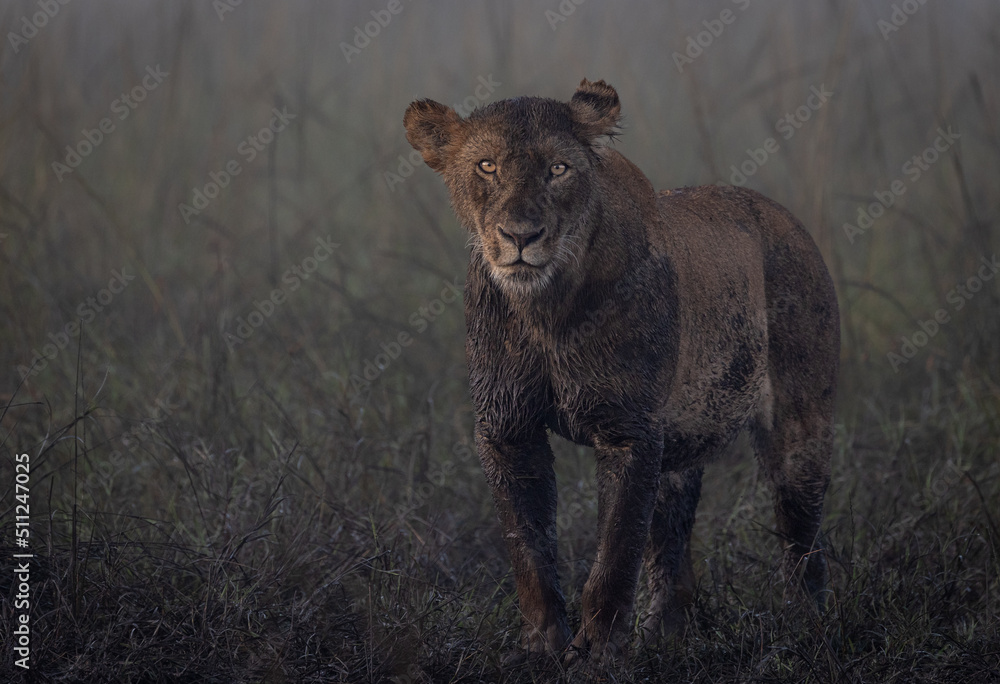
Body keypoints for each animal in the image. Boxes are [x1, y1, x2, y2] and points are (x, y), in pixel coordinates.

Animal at [403, 79, 839, 663]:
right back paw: (663, 636)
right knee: (672, 543)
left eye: (558, 169)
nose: (521, 235)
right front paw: (542, 647)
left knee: (800, 530)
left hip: (797, 420)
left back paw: (805, 625)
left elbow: (614, 554)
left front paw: (596, 653)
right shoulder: (508, 429)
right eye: (487, 166)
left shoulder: (628, 432)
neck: (545, 310)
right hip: (679, 439)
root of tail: (787, 219)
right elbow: (529, 549)